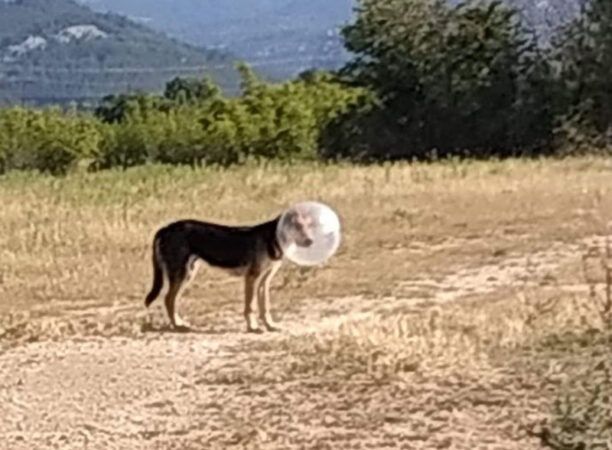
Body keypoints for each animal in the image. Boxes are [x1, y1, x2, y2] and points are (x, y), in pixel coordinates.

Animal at [144, 209, 316, 332]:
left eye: (308, 226)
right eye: (297, 226)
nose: (310, 241)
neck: (273, 238)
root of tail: (165, 228)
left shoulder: (264, 281)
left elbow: (265, 307)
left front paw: (270, 326)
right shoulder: (252, 278)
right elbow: (251, 307)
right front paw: (253, 327)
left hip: (188, 274)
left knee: (171, 300)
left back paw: (179, 324)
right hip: (182, 274)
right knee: (168, 299)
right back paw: (178, 326)